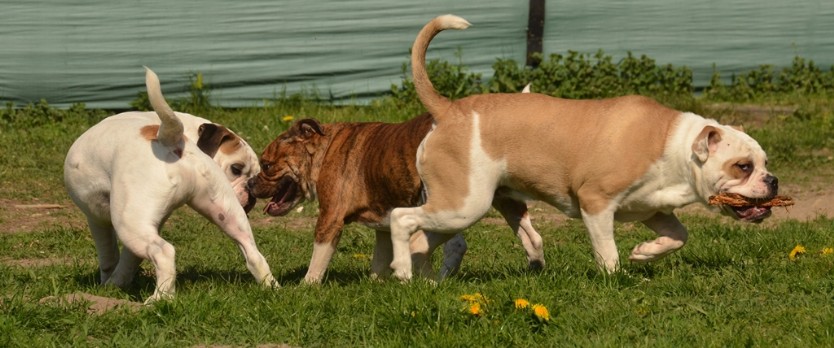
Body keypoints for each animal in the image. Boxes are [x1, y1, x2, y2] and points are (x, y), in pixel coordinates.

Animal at [65, 67, 278, 302]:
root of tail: (170, 139)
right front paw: (118, 283)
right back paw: (272, 287)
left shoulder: (97, 219)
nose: (251, 195)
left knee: (165, 252)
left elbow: (108, 257)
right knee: (253, 254)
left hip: (128, 222)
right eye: (237, 169)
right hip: (229, 215)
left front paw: (108, 284)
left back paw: (159, 299)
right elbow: (129, 260)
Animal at [247, 113, 544, 284]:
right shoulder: (383, 222)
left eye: (267, 165)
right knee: (530, 236)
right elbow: (379, 259)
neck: (324, 148)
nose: (250, 183)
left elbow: (318, 260)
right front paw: (375, 284)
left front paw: (305, 288)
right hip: (503, 200)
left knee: (447, 244)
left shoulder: (330, 219)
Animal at [386, 15, 776, 280]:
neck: (674, 147)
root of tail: (449, 110)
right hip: (464, 205)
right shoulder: (596, 203)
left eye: (765, 163)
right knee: (401, 218)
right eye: (742, 166)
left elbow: (679, 235)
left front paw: (645, 253)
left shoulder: (654, 208)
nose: (772, 181)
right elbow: (607, 251)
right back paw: (402, 271)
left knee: (422, 240)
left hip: (463, 210)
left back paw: (423, 282)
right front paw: (615, 277)